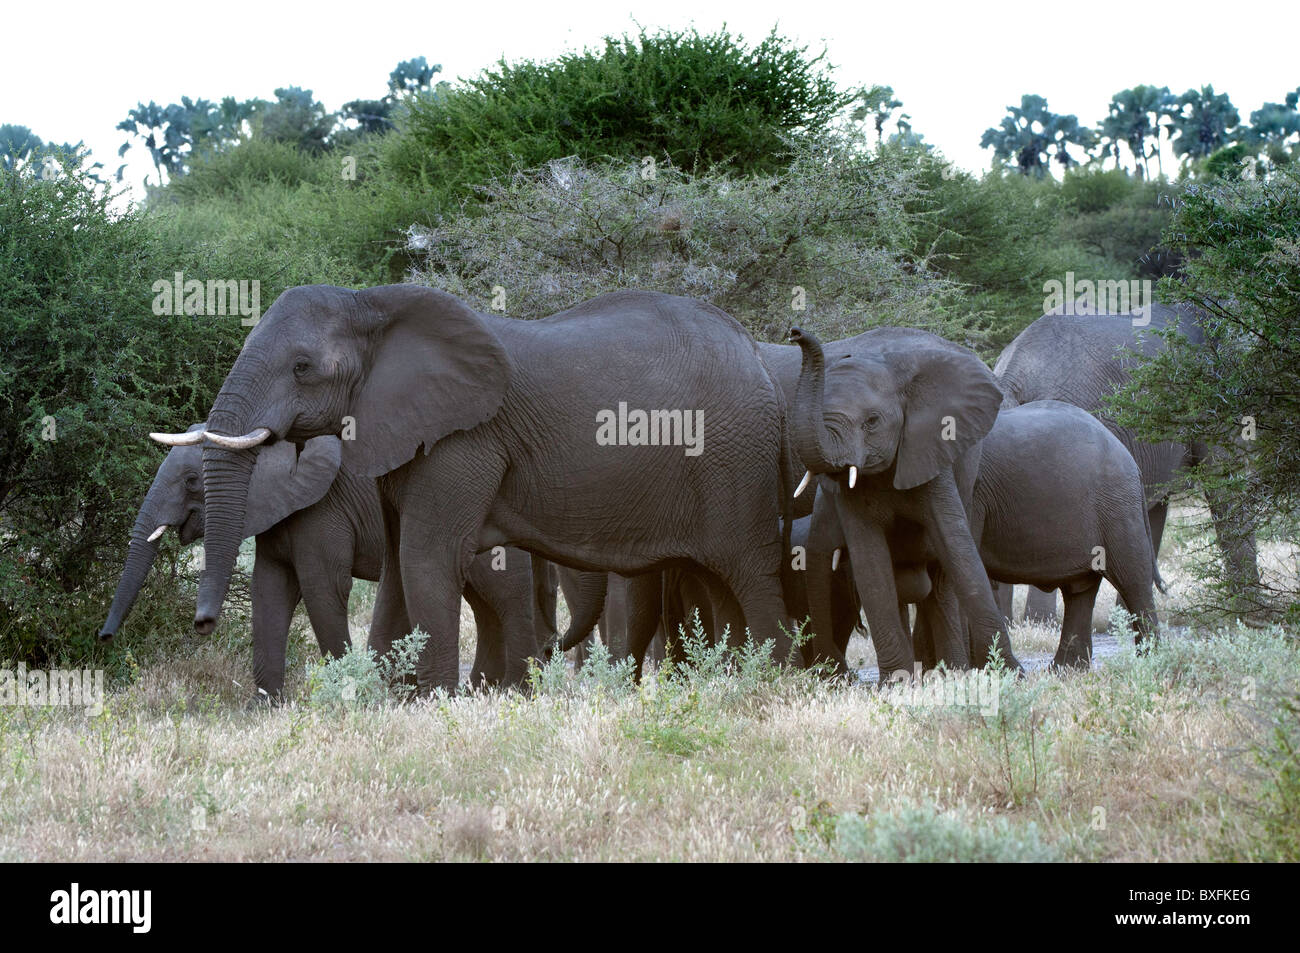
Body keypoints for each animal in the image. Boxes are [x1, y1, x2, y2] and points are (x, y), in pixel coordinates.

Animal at [100, 429, 553, 696]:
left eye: (193, 481)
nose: (104, 638)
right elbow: (269, 591)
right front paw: (266, 707)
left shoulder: (323, 508)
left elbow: (323, 588)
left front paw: (346, 691)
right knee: (482, 602)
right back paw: (480, 691)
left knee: (503, 595)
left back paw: (516, 691)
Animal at [152, 285, 799, 692]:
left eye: (303, 367)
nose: (202, 624)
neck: (374, 302)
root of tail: (756, 352)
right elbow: (397, 567)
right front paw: (390, 701)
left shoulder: (464, 438)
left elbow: (424, 558)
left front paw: (434, 702)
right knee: (718, 581)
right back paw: (732, 679)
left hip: (736, 459)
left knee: (749, 571)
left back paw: (770, 685)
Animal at [785, 326, 1022, 681]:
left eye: (872, 421)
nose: (796, 332)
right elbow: (871, 564)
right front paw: (896, 684)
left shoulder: (930, 449)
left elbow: (957, 549)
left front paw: (1010, 673)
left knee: (941, 580)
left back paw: (952, 672)